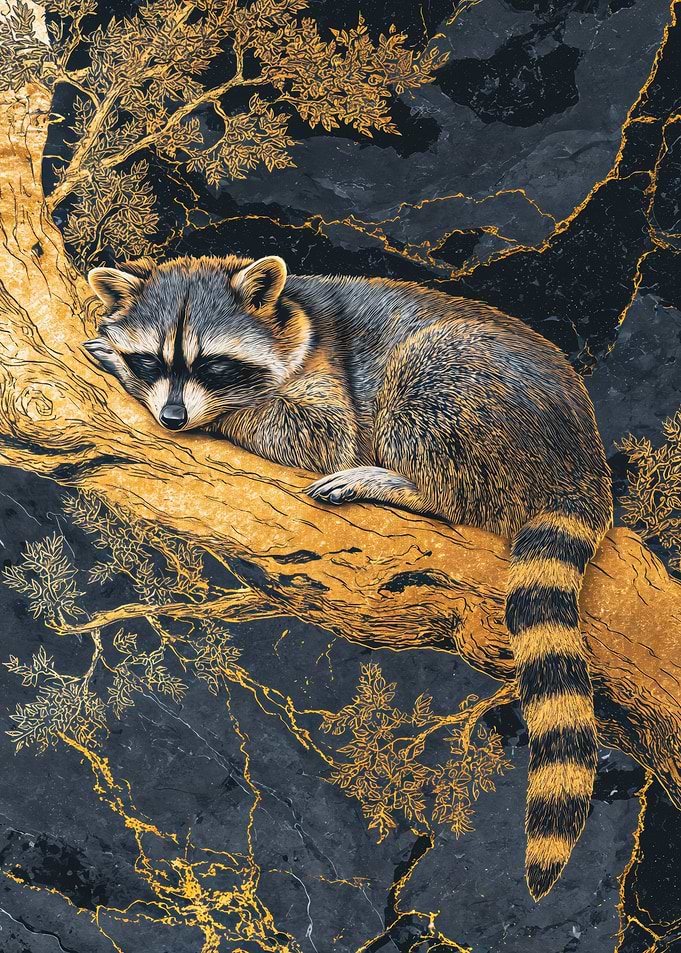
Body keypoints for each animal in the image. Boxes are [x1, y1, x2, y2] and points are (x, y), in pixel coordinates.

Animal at [85, 253, 613, 900]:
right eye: (154, 361)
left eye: (212, 364)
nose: (172, 416)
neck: (293, 316)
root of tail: (581, 458)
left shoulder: (327, 378)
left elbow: (319, 434)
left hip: (472, 391)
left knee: (426, 394)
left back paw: (406, 486)